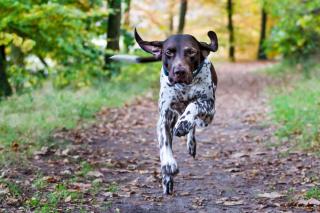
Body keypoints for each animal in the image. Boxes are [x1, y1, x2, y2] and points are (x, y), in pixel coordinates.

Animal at [110, 28, 218, 195]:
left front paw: (184, 123)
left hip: (204, 120)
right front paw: (168, 166)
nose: (179, 71)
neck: (184, 87)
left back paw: (189, 138)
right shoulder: (164, 119)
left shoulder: (209, 108)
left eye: (191, 52)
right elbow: (164, 143)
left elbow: (194, 106)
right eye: (169, 52)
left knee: (194, 123)